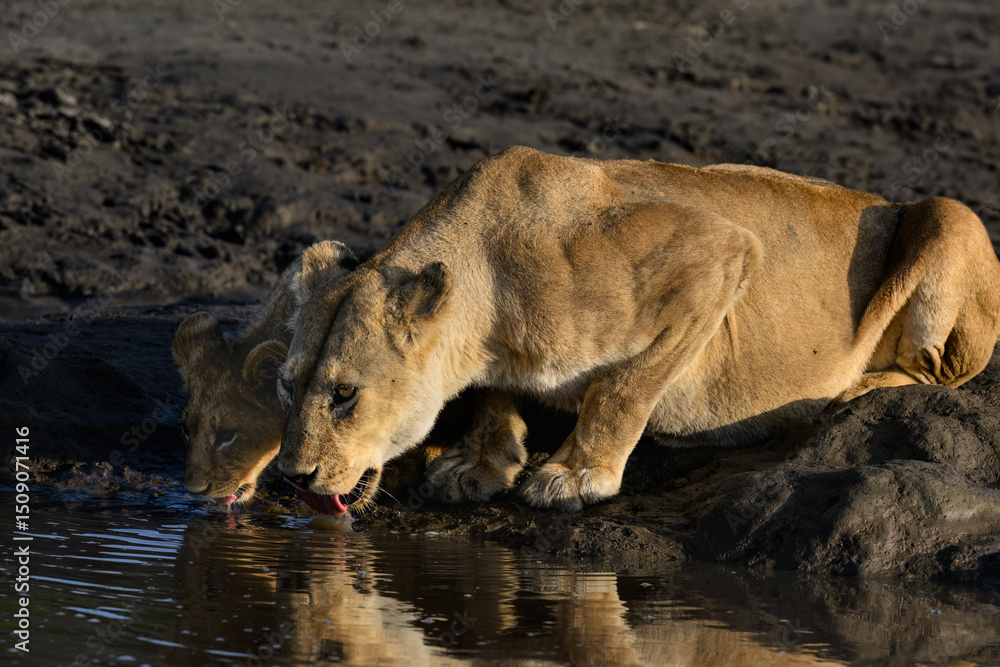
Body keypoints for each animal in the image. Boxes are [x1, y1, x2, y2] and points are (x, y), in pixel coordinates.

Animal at [273, 146, 1000, 513]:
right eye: (287, 386)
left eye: (344, 394)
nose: (292, 475)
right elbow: (492, 393)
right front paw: (480, 460)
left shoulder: (720, 253)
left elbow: (622, 388)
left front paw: (575, 475)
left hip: (947, 214)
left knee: (941, 370)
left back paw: (855, 389)